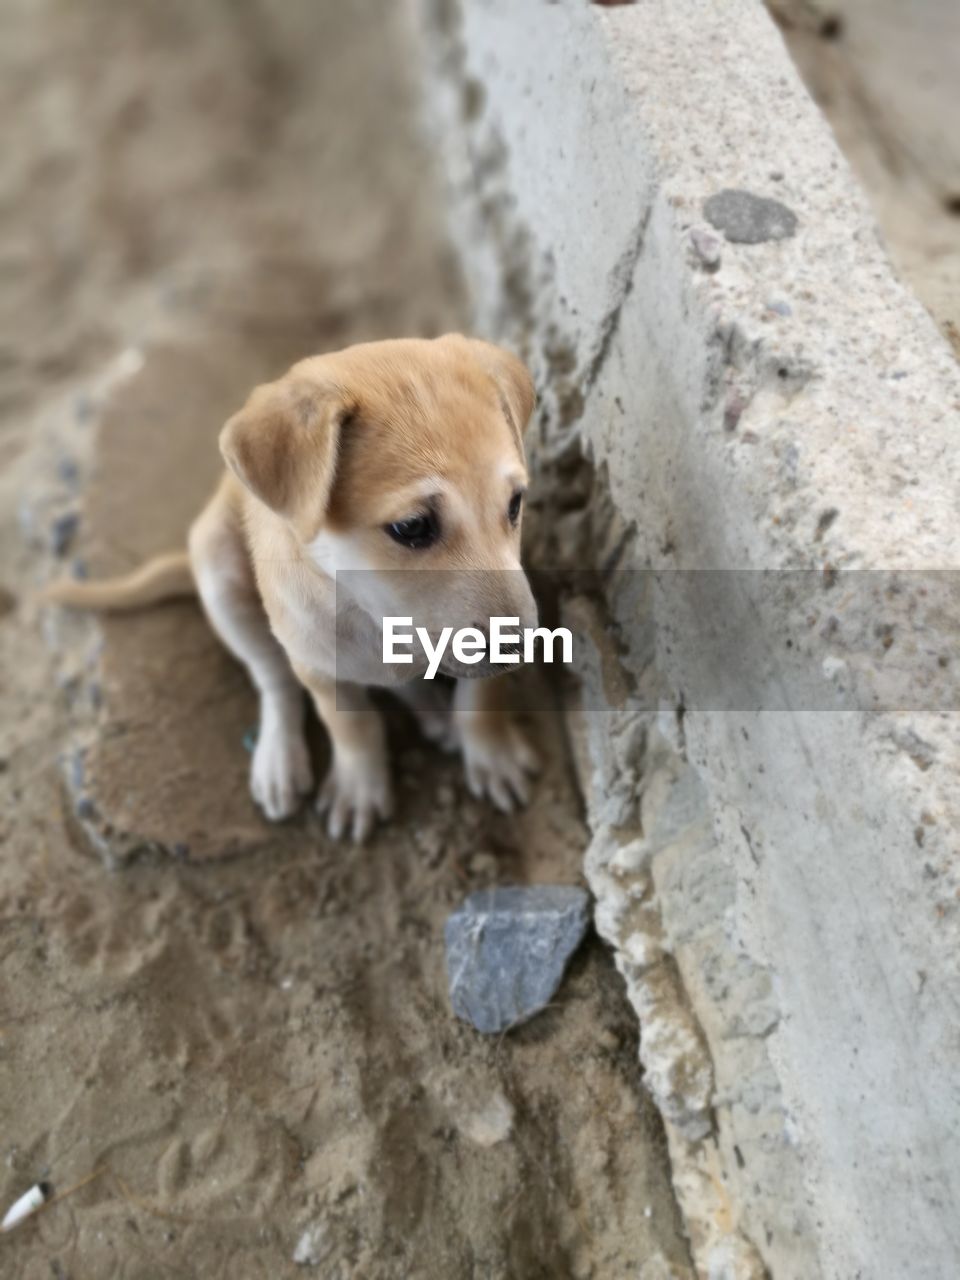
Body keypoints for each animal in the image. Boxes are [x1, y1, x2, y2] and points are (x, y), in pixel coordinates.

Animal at [47, 335, 542, 844]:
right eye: (412, 527)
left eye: (515, 504)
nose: (522, 648)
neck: (367, 612)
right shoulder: (316, 665)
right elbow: (353, 726)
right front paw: (360, 788)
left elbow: (481, 697)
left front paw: (493, 754)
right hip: (220, 572)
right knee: (274, 681)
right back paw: (279, 761)